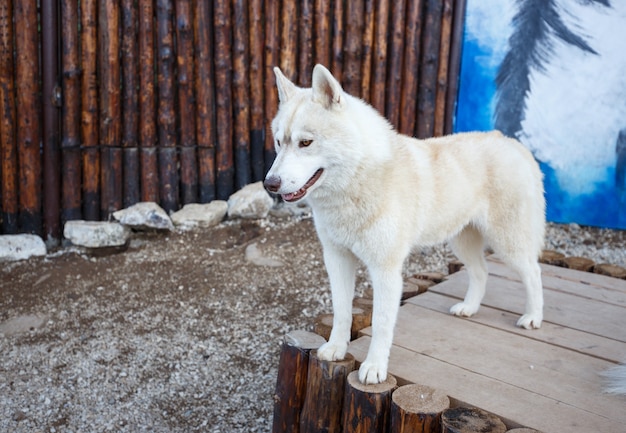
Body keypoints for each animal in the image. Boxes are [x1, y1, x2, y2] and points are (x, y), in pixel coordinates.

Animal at [264, 63, 544, 382]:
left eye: (305, 142)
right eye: (278, 142)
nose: (269, 184)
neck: (357, 181)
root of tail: (513, 144)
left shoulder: (386, 270)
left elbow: (381, 323)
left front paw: (374, 367)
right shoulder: (337, 259)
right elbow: (341, 311)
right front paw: (336, 349)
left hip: (508, 243)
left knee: (533, 272)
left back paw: (533, 317)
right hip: (462, 242)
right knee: (481, 272)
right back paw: (469, 308)